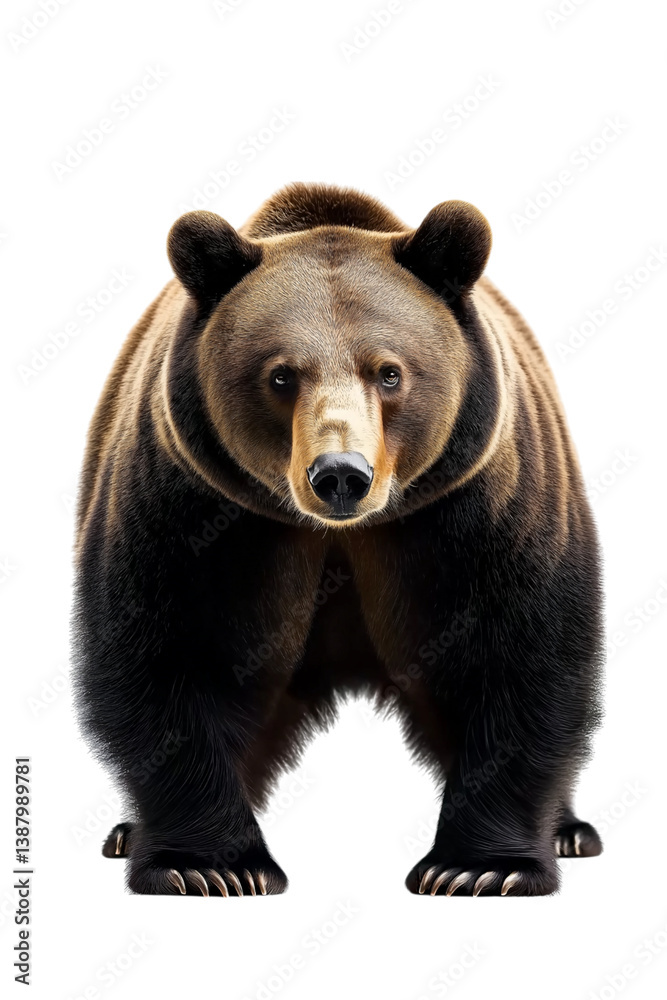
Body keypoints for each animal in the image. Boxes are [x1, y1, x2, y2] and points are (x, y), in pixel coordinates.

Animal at [73, 182, 603, 897]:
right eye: (280, 375)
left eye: (389, 372)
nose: (341, 475)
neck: (339, 534)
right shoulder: (197, 509)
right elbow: (173, 655)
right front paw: (209, 866)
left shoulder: (475, 507)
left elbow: (514, 656)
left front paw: (477, 867)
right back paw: (128, 832)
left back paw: (570, 830)